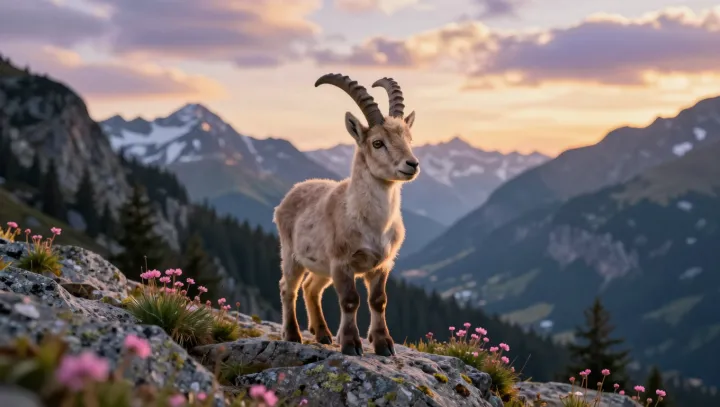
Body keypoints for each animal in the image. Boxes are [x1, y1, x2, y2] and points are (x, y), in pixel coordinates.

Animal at [272, 73, 420, 357]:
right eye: (377, 142)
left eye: (409, 139)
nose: (412, 164)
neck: (372, 224)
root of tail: (292, 192)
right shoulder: (343, 262)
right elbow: (350, 300)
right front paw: (351, 344)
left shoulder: (382, 265)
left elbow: (378, 301)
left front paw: (384, 344)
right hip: (292, 254)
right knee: (288, 287)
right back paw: (293, 334)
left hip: (322, 267)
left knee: (311, 288)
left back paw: (323, 333)